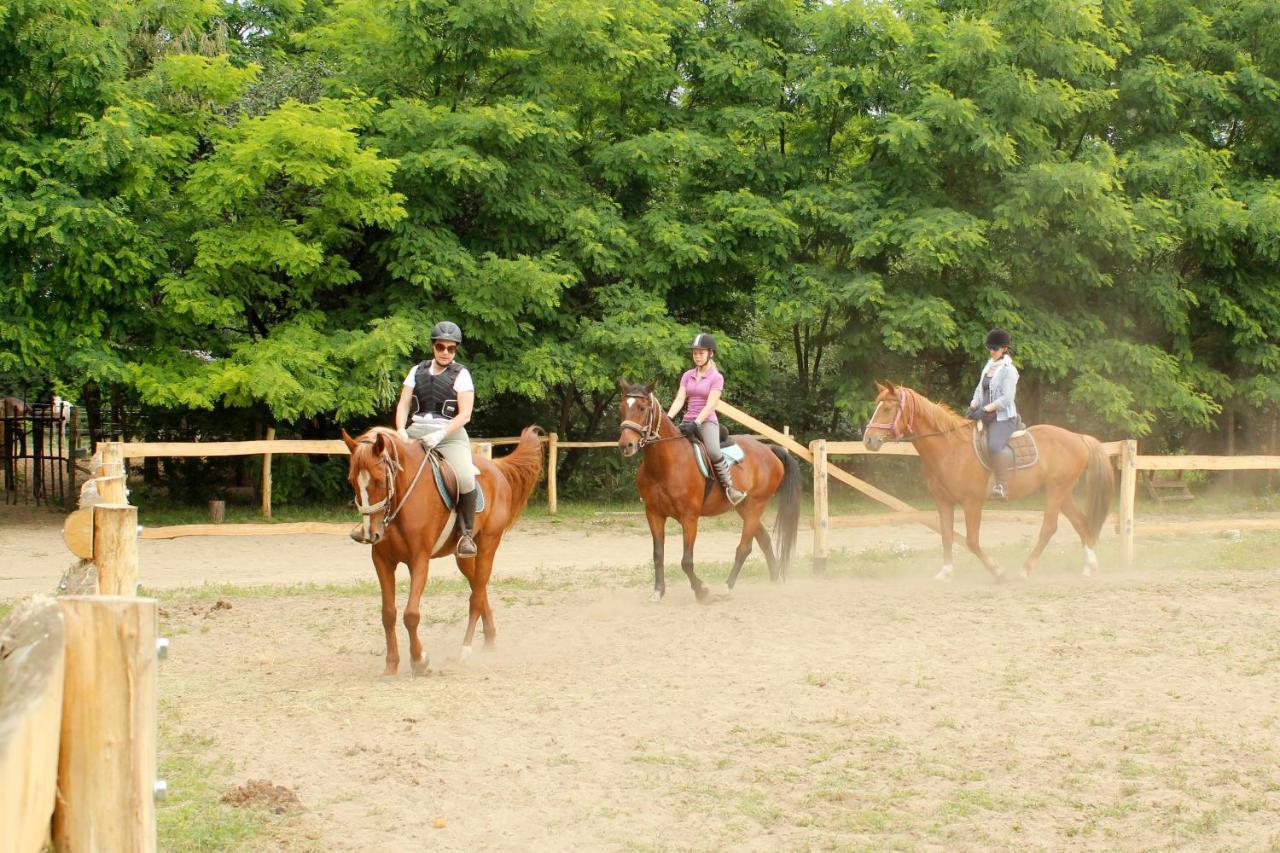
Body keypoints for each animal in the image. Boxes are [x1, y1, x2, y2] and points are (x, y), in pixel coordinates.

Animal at [343, 422, 542, 676]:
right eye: (352, 481)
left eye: (379, 481)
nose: (370, 534)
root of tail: (495, 467)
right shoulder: (382, 561)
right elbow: (388, 614)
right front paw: (391, 666)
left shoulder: (419, 560)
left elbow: (411, 614)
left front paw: (420, 661)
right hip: (464, 556)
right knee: (479, 589)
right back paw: (489, 640)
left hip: (488, 545)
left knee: (476, 598)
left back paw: (464, 652)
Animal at [611, 379, 798, 596]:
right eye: (621, 408)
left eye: (642, 408)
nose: (626, 445)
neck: (664, 464)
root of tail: (769, 449)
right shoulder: (654, 514)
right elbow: (658, 554)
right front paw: (658, 591)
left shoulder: (689, 517)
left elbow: (686, 561)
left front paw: (702, 591)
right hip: (744, 508)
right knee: (764, 540)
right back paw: (774, 578)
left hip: (756, 506)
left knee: (744, 547)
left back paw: (727, 587)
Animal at [860, 384, 1121, 578]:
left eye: (888, 408)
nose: (868, 439)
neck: (950, 448)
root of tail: (1078, 437)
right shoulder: (943, 501)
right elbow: (946, 535)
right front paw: (945, 572)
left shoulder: (972, 503)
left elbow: (972, 542)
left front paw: (997, 571)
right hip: (1062, 492)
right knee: (1081, 523)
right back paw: (1089, 567)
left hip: (1056, 491)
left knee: (1049, 528)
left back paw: (1025, 570)